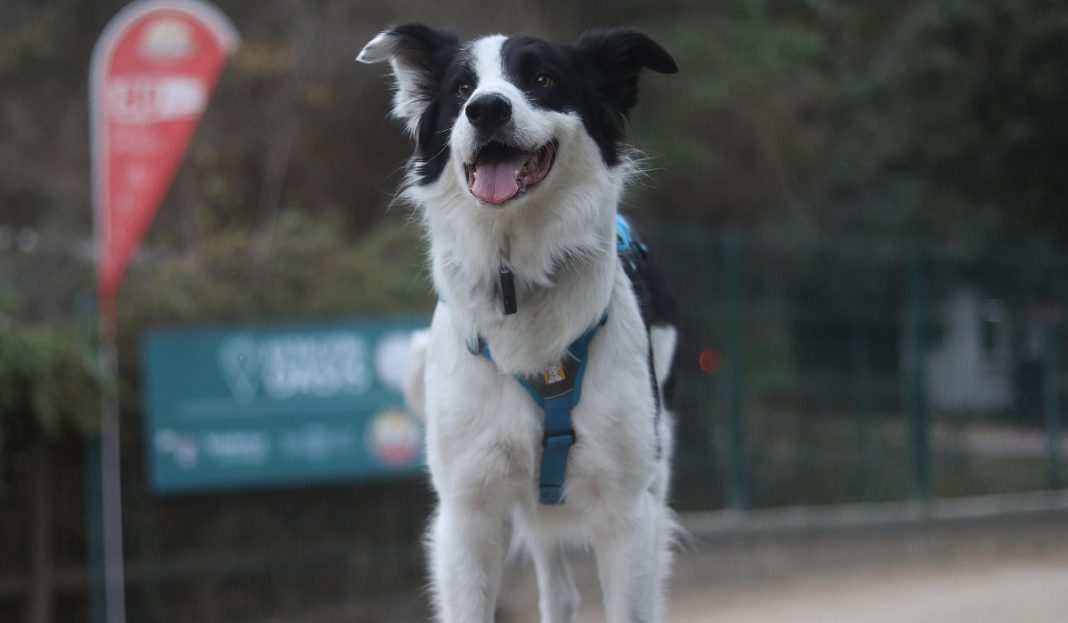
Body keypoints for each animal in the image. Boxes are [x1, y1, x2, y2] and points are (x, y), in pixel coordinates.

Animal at [356, 25, 674, 623]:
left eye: (543, 79)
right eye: (461, 89)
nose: (486, 110)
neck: (517, 275)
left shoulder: (627, 509)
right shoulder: (468, 511)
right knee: (559, 590)